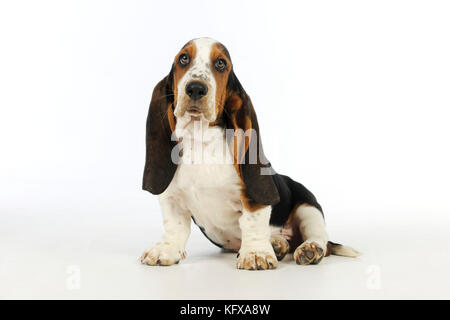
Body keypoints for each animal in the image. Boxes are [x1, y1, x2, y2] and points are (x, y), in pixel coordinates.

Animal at [141, 37, 358, 270]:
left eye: (221, 64)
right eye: (183, 59)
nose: (196, 88)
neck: (201, 141)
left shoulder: (252, 197)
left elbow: (252, 221)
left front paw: (255, 254)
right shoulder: (171, 197)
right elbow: (175, 225)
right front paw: (166, 249)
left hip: (309, 207)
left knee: (321, 240)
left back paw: (309, 249)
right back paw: (278, 244)